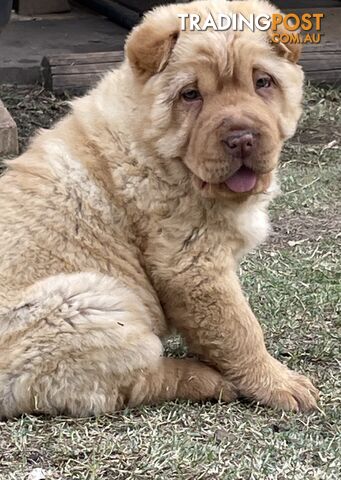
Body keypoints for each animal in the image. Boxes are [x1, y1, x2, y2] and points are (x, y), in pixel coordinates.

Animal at [0, 0, 316, 416]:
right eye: (191, 94)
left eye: (263, 82)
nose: (242, 139)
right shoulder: (192, 265)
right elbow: (241, 330)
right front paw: (281, 384)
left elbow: (223, 330)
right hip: (89, 303)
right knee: (131, 381)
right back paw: (207, 380)